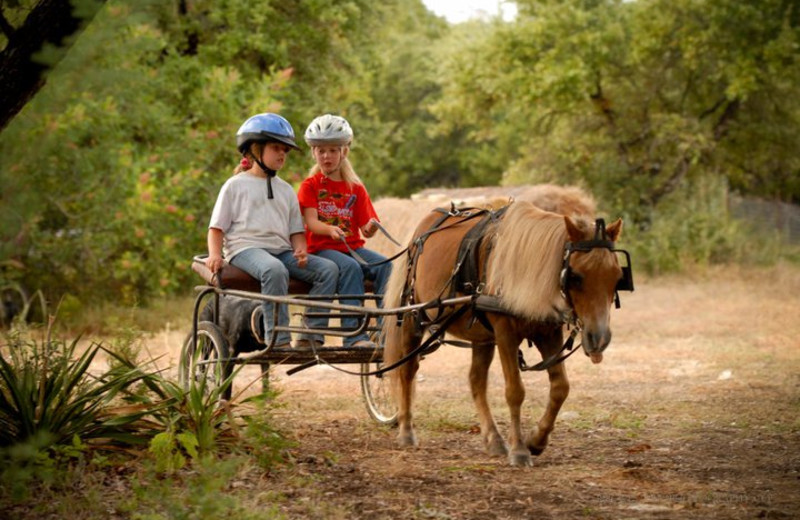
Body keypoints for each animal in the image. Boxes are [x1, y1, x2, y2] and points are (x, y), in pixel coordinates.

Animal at [382, 200, 632, 468]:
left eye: (618, 277)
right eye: (575, 276)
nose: (599, 338)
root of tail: (424, 226)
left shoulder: (548, 334)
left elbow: (560, 388)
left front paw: (537, 440)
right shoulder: (505, 335)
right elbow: (515, 391)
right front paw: (520, 450)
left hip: (481, 334)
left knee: (476, 381)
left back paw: (493, 439)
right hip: (413, 317)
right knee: (408, 371)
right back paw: (406, 431)